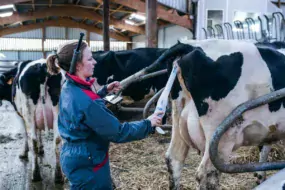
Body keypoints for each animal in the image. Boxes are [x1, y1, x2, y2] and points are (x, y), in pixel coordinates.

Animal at [162, 39, 284, 189]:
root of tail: (189, 45)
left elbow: (265, 148)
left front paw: (260, 177)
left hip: (178, 118)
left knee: (174, 159)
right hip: (222, 136)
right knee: (207, 174)